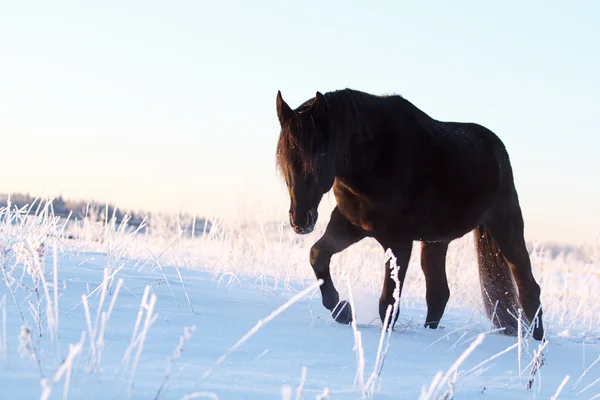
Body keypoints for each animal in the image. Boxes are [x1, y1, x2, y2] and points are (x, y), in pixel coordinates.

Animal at [274, 87, 548, 340]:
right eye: (285, 160)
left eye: (319, 157)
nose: (300, 220)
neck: (376, 160)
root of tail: (496, 148)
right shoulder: (348, 226)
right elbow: (317, 255)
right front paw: (343, 310)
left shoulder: (399, 242)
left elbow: (388, 302)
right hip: (436, 241)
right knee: (438, 293)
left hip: (505, 225)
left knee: (528, 288)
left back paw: (537, 342)